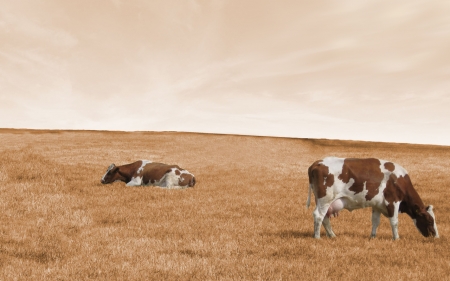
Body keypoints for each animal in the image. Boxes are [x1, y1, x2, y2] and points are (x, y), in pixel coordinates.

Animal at [308, 156, 438, 240]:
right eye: (430, 220)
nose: (436, 236)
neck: (398, 179)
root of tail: (317, 163)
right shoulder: (392, 201)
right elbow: (394, 222)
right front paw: (396, 238)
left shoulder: (377, 205)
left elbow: (375, 221)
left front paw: (373, 236)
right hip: (325, 200)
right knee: (318, 215)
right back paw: (317, 237)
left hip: (324, 202)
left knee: (325, 217)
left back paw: (332, 235)